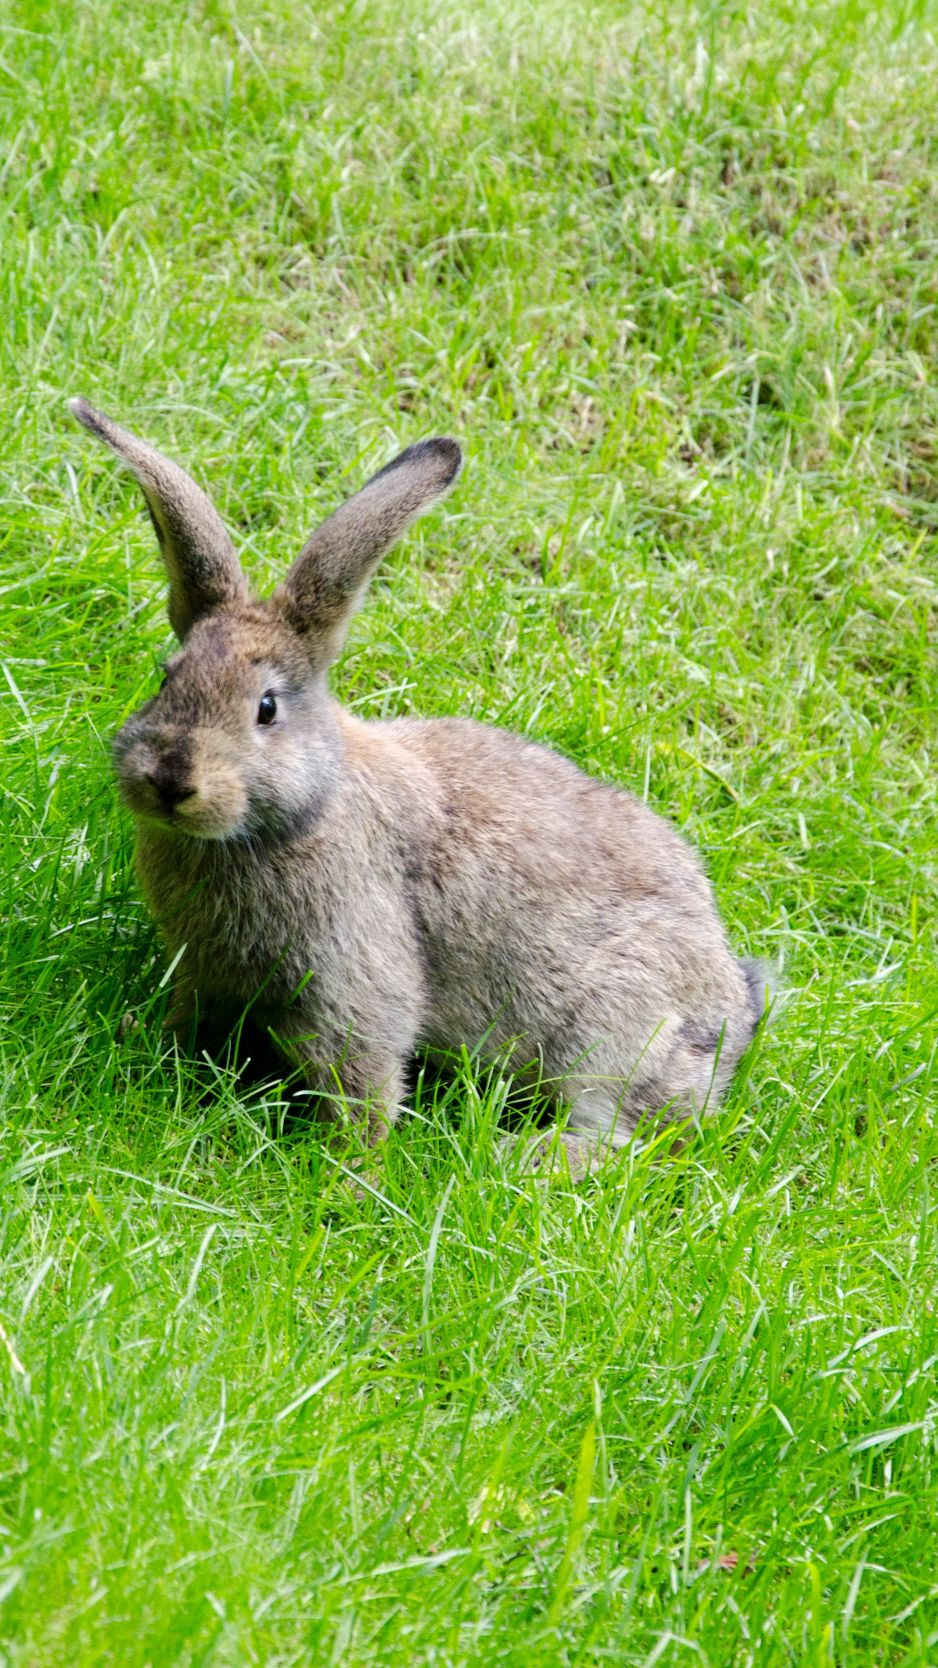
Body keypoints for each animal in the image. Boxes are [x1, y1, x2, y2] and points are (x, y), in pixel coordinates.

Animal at [71, 397, 769, 1173]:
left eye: (266, 708)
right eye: (167, 678)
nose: (170, 780)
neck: (297, 816)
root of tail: (732, 1017)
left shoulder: (356, 971)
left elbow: (363, 1073)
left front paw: (350, 1170)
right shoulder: (204, 970)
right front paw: (150, 1045)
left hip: (612, 1031)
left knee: (624, 1138)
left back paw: (519, 1156)